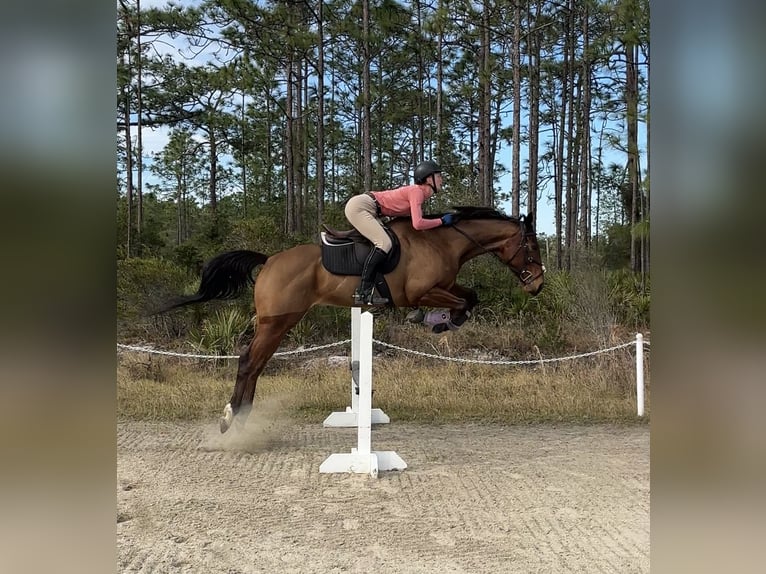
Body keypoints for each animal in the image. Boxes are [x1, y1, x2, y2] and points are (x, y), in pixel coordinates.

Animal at [161, 206, 545, 433]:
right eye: (532, 247)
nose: (538, 285)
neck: (442, 240)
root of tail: (269, 260)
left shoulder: (444, 286)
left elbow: (469, 297)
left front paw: (438, 320)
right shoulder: (421, 291)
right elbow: (463, 302)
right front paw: (438, 320)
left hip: (277, 323)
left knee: (253, 363)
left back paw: (240, 416)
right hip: (278, 321)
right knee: (248, 362)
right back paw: (231, 418)